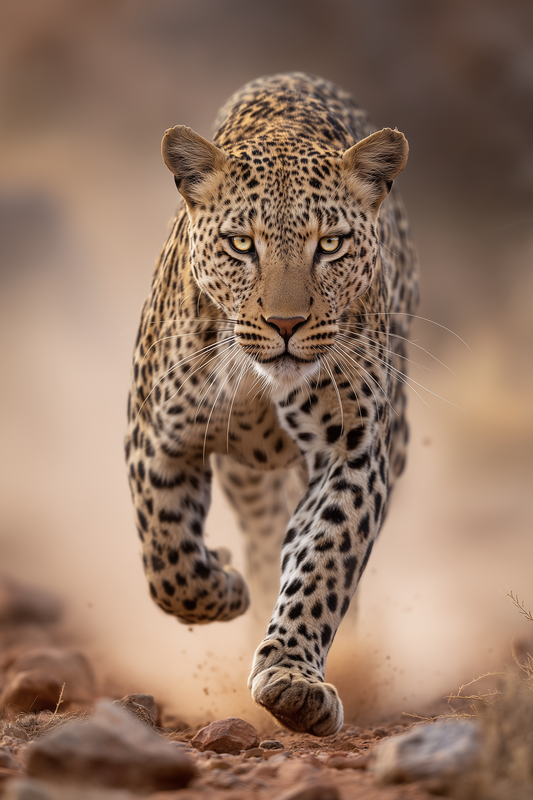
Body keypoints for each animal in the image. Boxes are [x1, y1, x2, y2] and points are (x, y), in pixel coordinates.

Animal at [125, 72, 418, 737]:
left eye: (330, 245)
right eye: (241, 244)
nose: (286, 324)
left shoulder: (356, 452)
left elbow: (324, 560)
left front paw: (292, 678)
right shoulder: (156, 438)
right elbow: (167, 557)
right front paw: (223, 585)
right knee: (260, 541)